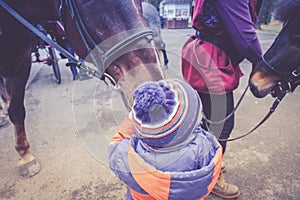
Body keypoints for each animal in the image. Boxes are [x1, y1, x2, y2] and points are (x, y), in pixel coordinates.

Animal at [0, 0, 164, 178]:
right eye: (89, 2)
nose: (153, 91)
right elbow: (15, 109)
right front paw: (25, 157)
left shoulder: (21, 63)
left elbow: (16, 109)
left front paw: (24, 154)